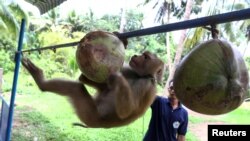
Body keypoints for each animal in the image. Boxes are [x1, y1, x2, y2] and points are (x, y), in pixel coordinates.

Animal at [22, 51, 164, 128]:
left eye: (145, 57)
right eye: (143, 54)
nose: (135, 55)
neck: (139, 75)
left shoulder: (146, 84)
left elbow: (126, 112)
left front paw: (116, 76)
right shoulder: (129, 70)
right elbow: (99, 85)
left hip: (89, 115)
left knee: (76, 89)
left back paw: (41, 83)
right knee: (77, 87)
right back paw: (41, 81)